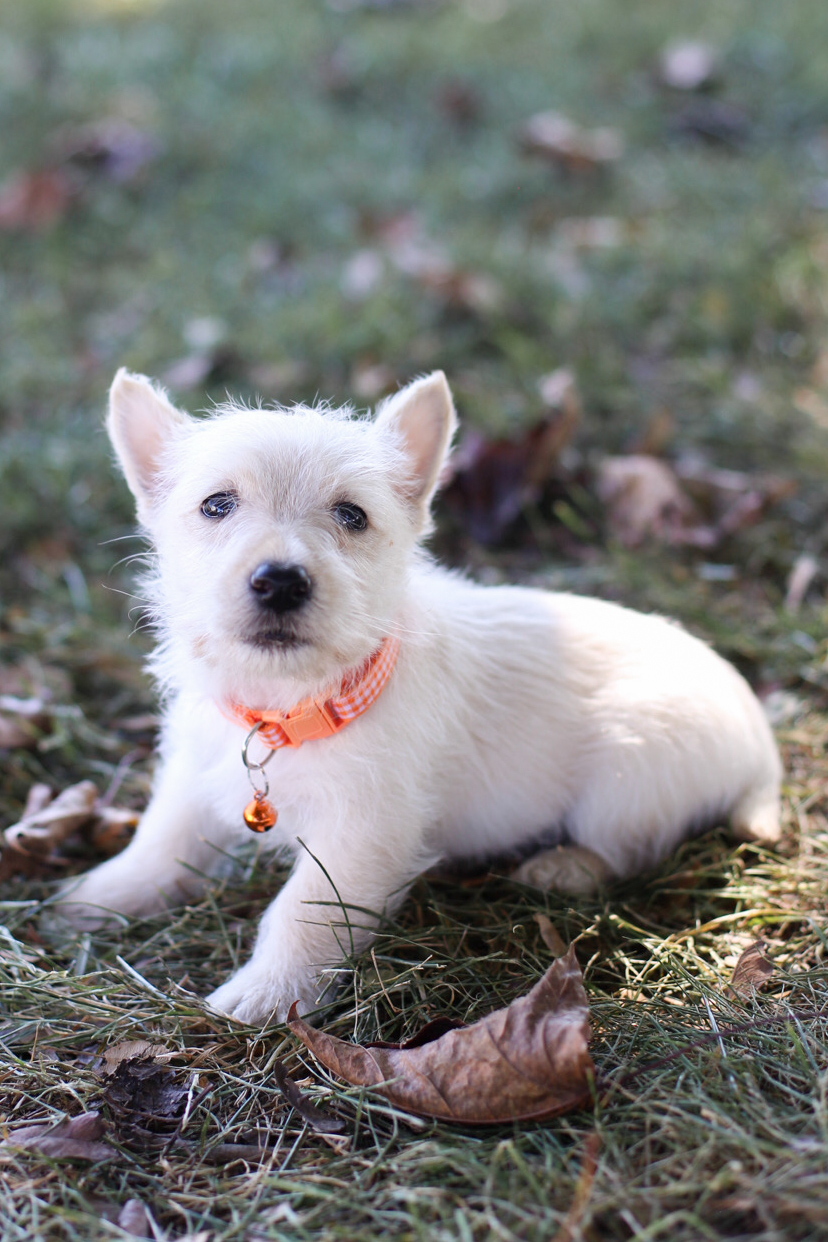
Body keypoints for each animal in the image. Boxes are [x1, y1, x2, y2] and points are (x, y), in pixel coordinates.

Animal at [58, 372, 784, 1023]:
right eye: (216, 505)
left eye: (351, 515)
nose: (281, 581)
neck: (291, 706)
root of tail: (762, 740)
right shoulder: (197, 771)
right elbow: (160, 837)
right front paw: (98, 894)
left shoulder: (361, 835)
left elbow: (300, 913)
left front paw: (264, 994)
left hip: (630, 770)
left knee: (627, 850)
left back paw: (559, 868)